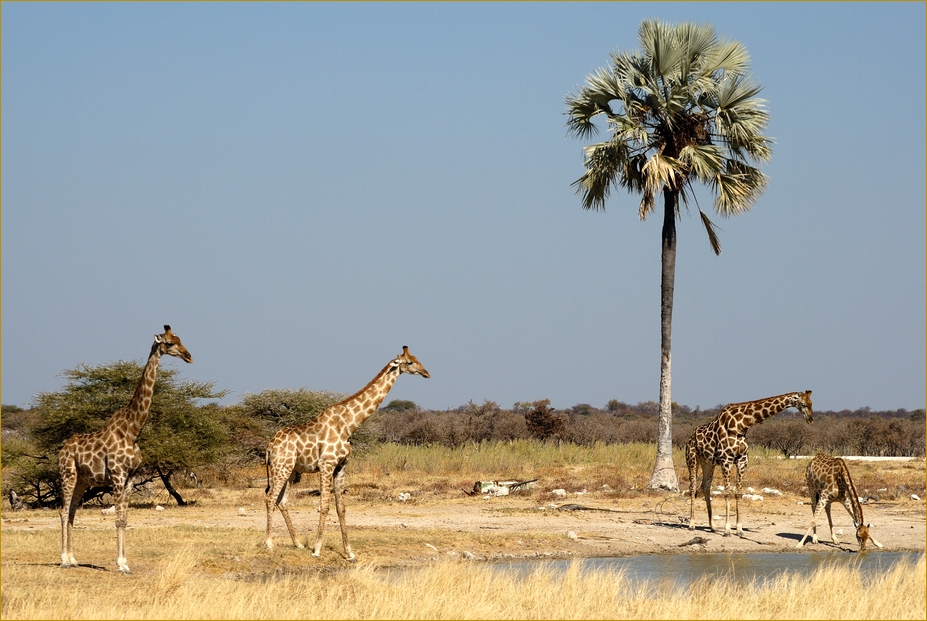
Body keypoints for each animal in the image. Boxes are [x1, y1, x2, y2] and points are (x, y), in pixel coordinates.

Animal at [58, 324, 192, 572]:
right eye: (169, 343)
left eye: (181, 339)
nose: (189, 356)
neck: (133, 430)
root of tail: (62, 449)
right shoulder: (118, 476)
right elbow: (118, 519)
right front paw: (120, 564)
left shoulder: (130, 478)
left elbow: (125, 519)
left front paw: (125, 563)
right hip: (68, 474)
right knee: (63, 511)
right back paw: (64, 560)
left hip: (82, 480)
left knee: (71, 512)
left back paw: (73, 559)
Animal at [264, 346, 432, 560]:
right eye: (409, 362)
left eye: (417, 359)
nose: (426, 373)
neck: (348, 425)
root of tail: (269, 446)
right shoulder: (326, 464)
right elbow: (324, 505)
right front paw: (317, 550)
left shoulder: (341, 466)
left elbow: (341, 508)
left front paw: (349, 552)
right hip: (281, 467)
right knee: (270, 498)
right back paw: (269, 543)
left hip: (292, 471)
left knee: (282, 501)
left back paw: (298, 543)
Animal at [684, 390, 816, 536]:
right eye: (803, 404)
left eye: (811, 403)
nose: (811, 420)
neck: (741, 425)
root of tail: (689, 438)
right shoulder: (726, 460)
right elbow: (727, 493)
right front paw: (727, 529)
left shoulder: (742, 461)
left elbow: (739, 493)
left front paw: (739, 529)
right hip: (692, 459)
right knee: (692, 487)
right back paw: (692, 524)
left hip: (708, 462)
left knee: (705, 486)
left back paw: (712, 526)